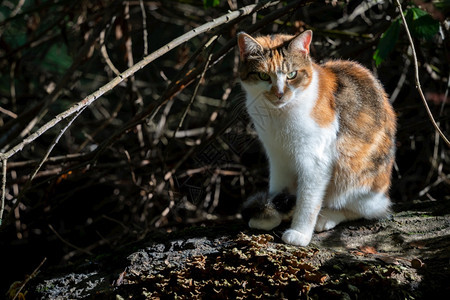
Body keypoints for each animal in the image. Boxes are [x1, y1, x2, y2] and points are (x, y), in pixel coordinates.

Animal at [237, 30, 396, 246]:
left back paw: (327, 216)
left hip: (354, 177)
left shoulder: (315, 160)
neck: (278, 115)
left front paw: (300, 232)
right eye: (263, 75)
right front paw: (272, 214)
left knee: (367, 210)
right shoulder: (277, 157)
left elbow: (308, 201)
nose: (279, 94)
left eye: (292, 75)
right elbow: (278, 187)